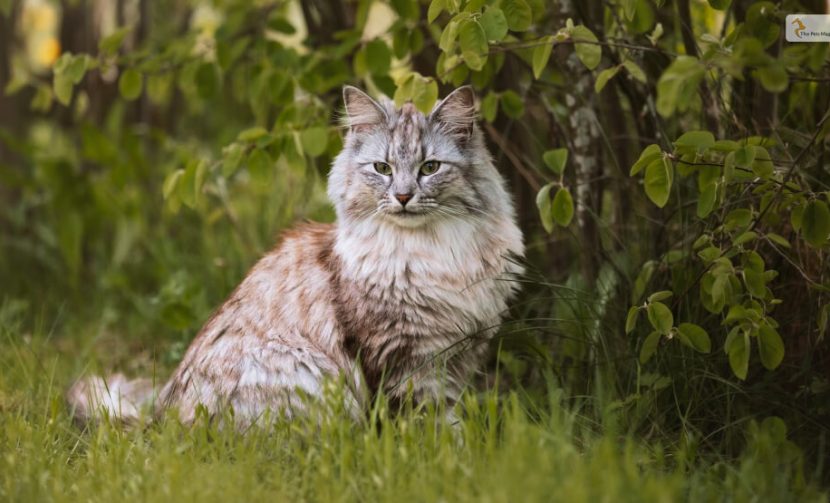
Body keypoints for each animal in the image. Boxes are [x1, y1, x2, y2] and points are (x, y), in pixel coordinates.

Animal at [71, 84, 528, 428]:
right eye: (381, 168)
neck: (429, 252)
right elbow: (421, 422)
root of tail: (160, 424)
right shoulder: (400, 356)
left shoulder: (459, 354)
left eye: (430, 167)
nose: (401, 196)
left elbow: (449, 418)